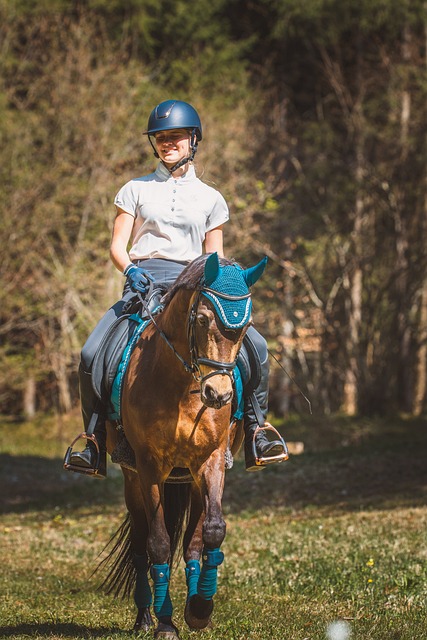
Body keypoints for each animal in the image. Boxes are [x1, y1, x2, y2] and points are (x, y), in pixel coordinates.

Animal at [100, 252, 268, 636]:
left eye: (247, 325)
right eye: (203, 318)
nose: (218, 395)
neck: (179, 384)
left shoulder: (211, 460)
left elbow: (212, 532)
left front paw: (200, 609)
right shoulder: (149, 467)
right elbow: (159, 544)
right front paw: (165, 623)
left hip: (189, 478)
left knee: (192, 542)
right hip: (133, 479)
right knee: (140, 544)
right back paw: (145, 618)